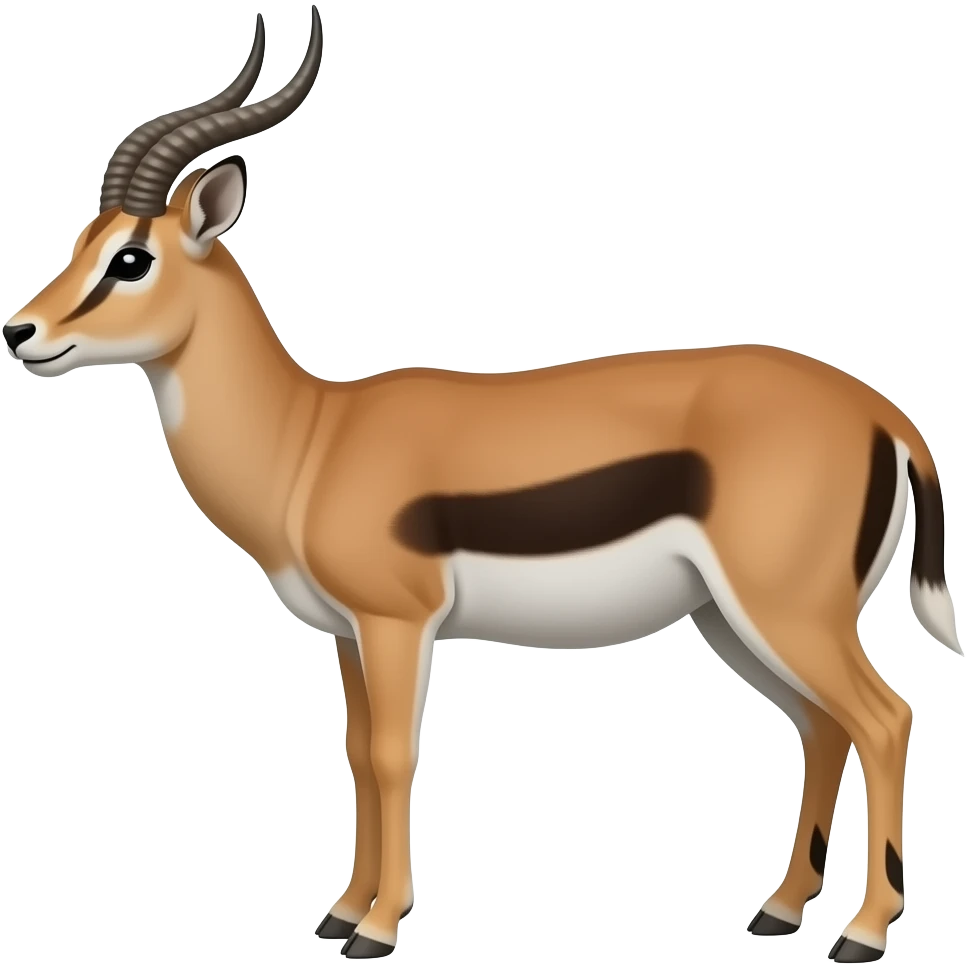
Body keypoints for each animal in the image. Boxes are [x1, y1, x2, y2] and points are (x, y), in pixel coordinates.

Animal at [1, 10, 959, 965]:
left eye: (131, 258)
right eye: (81, 240)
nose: (21, 331)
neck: (312, 437)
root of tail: (883, 412)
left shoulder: (398, 622)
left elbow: (395, 755)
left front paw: (378, 928)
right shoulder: (347, 632)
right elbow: (357, 753)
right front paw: (340, 910)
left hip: (788, 610)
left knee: (883, 718)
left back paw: (861, 933)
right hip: (735, 617)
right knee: (822, 726)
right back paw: (780, 910)